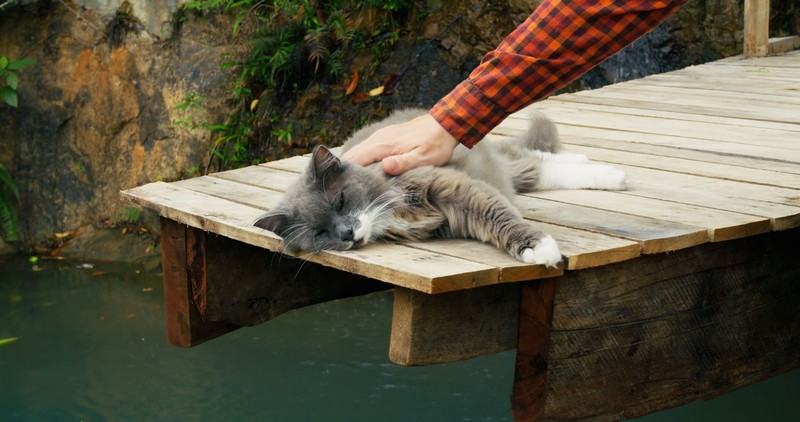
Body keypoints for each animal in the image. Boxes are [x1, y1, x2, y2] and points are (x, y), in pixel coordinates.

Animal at [253, 109, 628, 268]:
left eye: (341, 201)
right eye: (319, 233)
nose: (346, 234)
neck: (389, 215)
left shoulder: (455, 187)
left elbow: (501, 216)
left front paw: (540, 247)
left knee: (532, 160)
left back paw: (611, 173)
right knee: (533, 167)